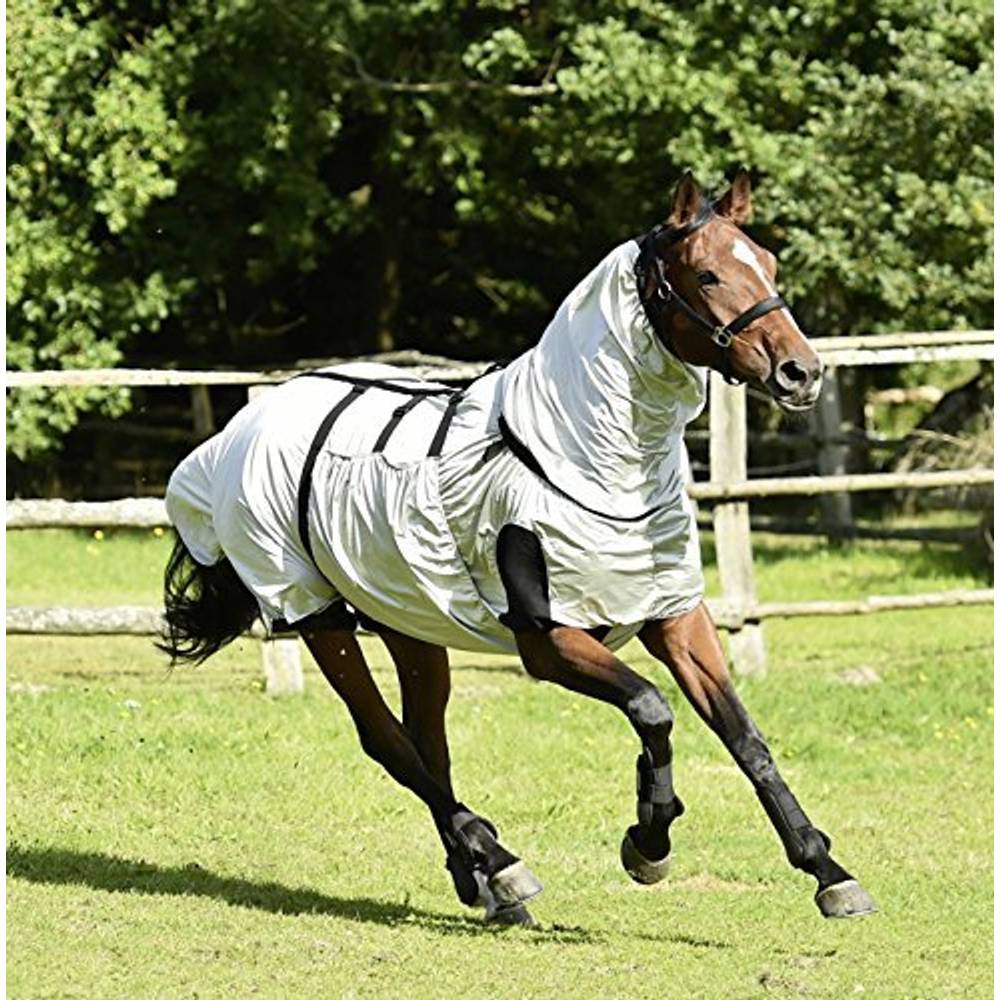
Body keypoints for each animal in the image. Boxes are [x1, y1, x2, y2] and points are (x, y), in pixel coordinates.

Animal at [158, 170, 877, 926]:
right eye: (707, 273)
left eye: (767, 263)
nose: (801, 372)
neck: (580, 459)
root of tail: (238, 431)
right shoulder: (548, 638)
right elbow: (652, 709)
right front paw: (648, 841)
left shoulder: (675, 615)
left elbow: (744, 736)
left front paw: (828, 872)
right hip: (316, 616)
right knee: (388, 742)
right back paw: (501, 863)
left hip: (409, 622)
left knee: (428, 742)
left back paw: (484, 884)